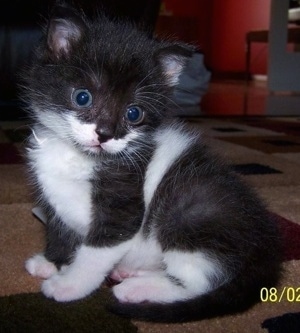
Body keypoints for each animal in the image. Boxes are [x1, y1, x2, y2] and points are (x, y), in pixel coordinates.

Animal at [22, 1, 282, 322]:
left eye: (134, 113)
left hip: (192, 212)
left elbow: (96, 251)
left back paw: (137, 288)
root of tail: (265, 242)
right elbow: (58, 231)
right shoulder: (54, 196)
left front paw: (69, 285)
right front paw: (53, 261)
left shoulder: (124, 206)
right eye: (83, 97)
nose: (104, 134)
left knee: (199, 281)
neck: (78, 157)